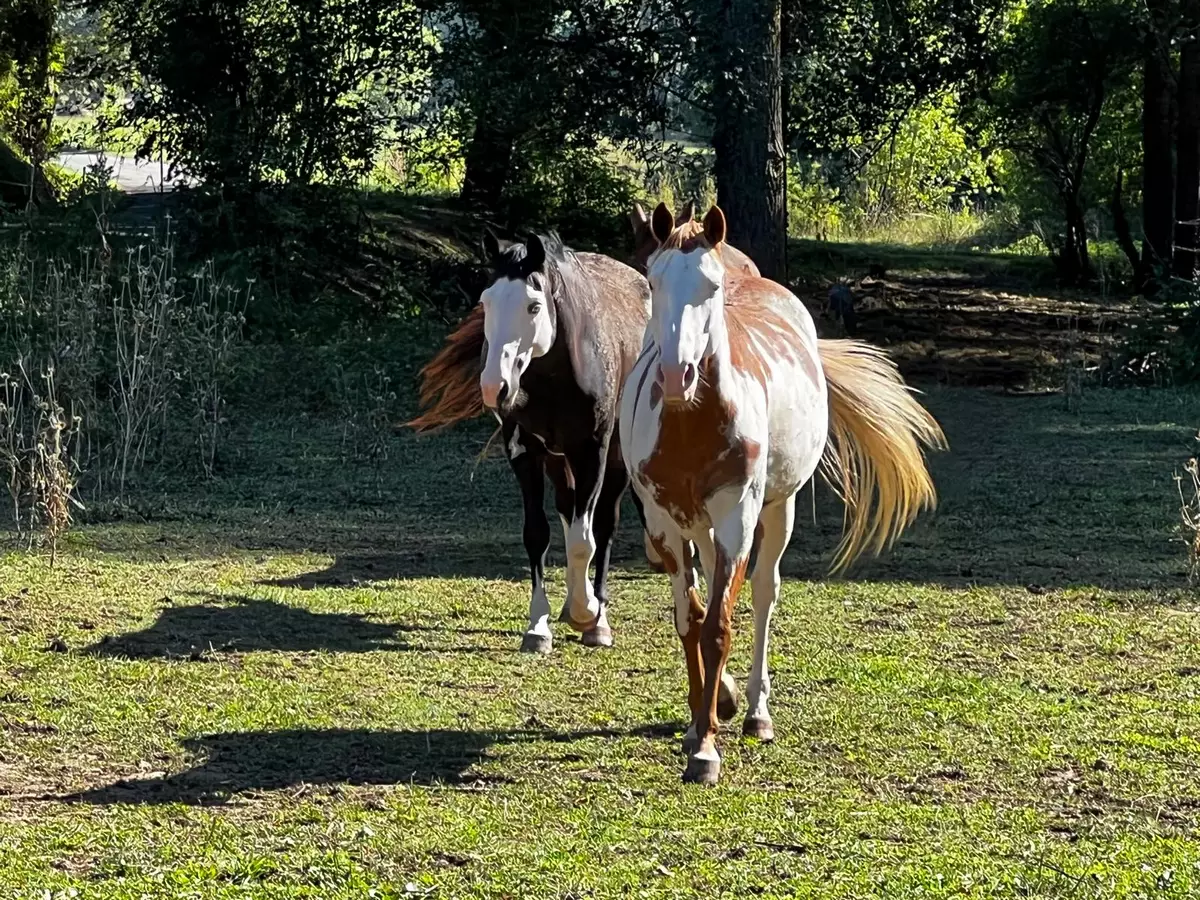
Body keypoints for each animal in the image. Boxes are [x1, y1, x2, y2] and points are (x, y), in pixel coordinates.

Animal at [408, 229, 654, 655]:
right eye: (486, 302)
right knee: (568, 510)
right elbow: (538, 534)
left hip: (615, 458)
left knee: (603, 525)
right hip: (557, 460)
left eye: (534, 305)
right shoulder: (524, 451)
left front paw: (588, 612)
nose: (495, 387)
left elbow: (585, 540)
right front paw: (539, 626)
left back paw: (597, 618)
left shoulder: (593, 451)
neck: (558, 376)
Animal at [620, 203, 946, 784]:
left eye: (710, 285)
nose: (677, 377)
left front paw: (707, 750)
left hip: (775, 510)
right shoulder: (663, 521)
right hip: (704, 524)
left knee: (763, 593)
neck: (690, 425)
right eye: (653, 282)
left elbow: (719, 626)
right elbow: (690, 620)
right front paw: (700, 721)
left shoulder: (738, 517)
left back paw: (755, 711)